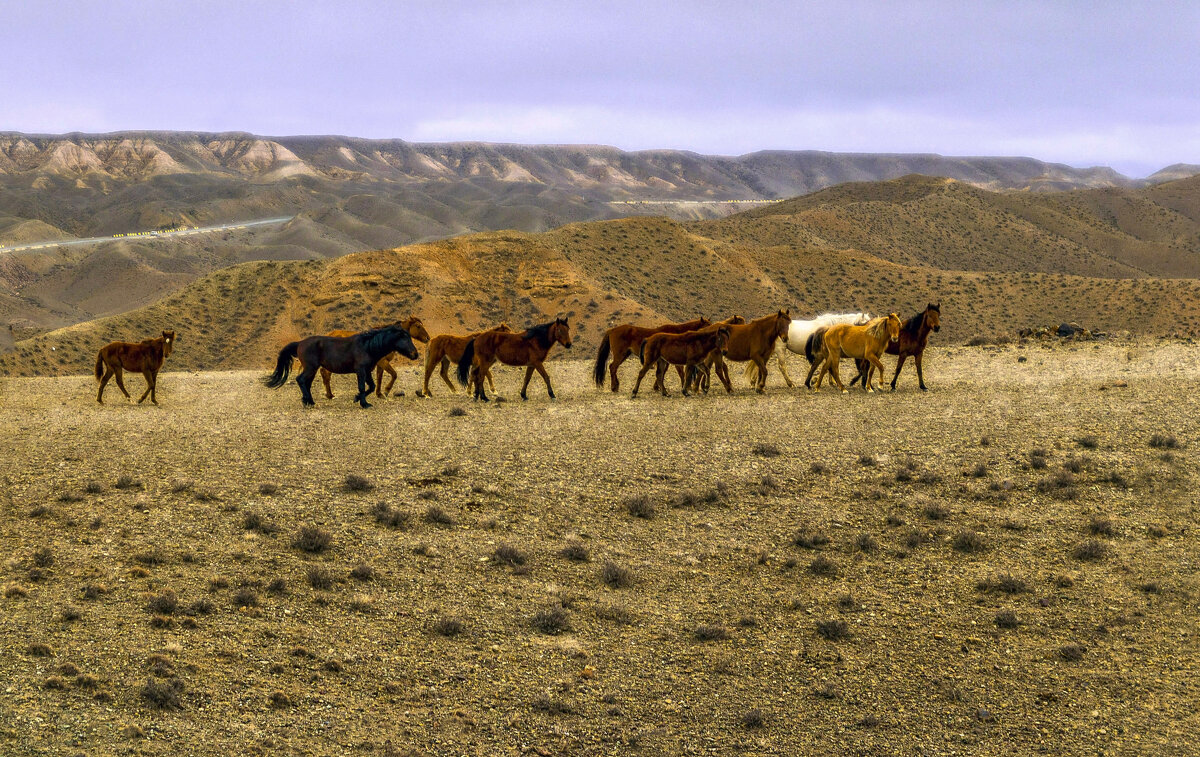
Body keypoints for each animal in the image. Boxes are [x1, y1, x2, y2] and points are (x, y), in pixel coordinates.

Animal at [265, 323, 420, 412]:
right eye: (405, 338)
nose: (415, 354)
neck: (367, 346)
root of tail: (300, 343)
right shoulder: (360, 371)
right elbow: (362, 387)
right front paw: (364, 403)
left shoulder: (367, 371)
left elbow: (371, 386)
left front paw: (357, 399)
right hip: (311, 368)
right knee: (301, 380)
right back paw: (308, 401)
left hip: (312, 369)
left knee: (306, 383)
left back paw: (309, 401)